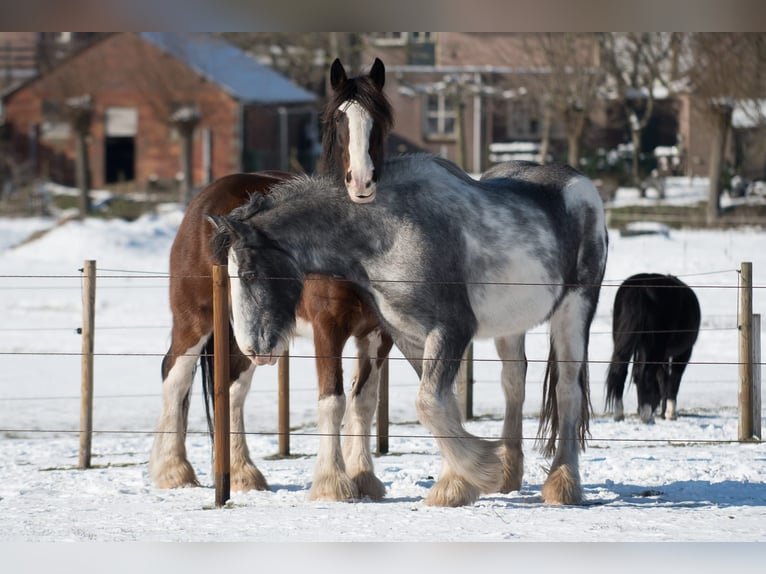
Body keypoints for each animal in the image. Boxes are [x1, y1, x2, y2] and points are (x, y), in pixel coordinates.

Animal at [148, 56, 396, 502]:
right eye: (338, 120)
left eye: (380, 120)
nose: (362, 182)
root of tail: (204, 200)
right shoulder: (328, 329)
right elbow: (332, 400)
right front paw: (332, 484)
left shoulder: (377, 334)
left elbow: (363, 401)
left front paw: (365, 478)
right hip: (195, 318)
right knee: (174, 375)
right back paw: (173, 471)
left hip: (246, 333)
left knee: (231, 388)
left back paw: (243, 474)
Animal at [210, 154, 612, 508]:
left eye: (250, 274)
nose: (253, 349)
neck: (390, 233)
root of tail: (579, 183)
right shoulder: (408, 336)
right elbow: (444, 404)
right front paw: (461, 484)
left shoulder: (451, 330)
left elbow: (429, 402)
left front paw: (478, 471)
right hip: (510, 327)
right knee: (514, 383)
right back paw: (511, 473)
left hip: (575, 309)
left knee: (568, 391)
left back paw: (563, 484)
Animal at [608, 272, 704, 426]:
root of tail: (640, 287)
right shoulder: (683, 353)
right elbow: (673, 380)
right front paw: (670, 413)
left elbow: (660, 379)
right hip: (655, 349)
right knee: (646, 375)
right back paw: (647, 417)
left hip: (627, 344)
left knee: (621, 372)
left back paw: (620, 415)